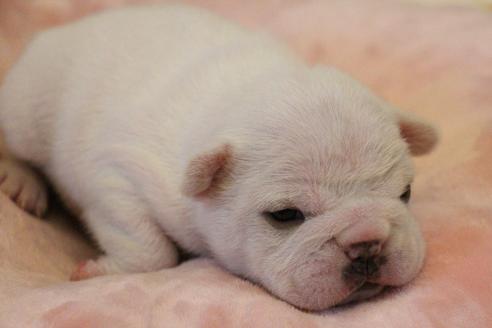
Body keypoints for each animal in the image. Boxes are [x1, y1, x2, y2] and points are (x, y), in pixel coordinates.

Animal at [0, 3, 438, 310]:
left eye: (405, 194)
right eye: (285, 215)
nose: (367, 241)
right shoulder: (116, 177)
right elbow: (150, 251)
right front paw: (97, 270)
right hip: (27, 107)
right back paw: (20, 181)